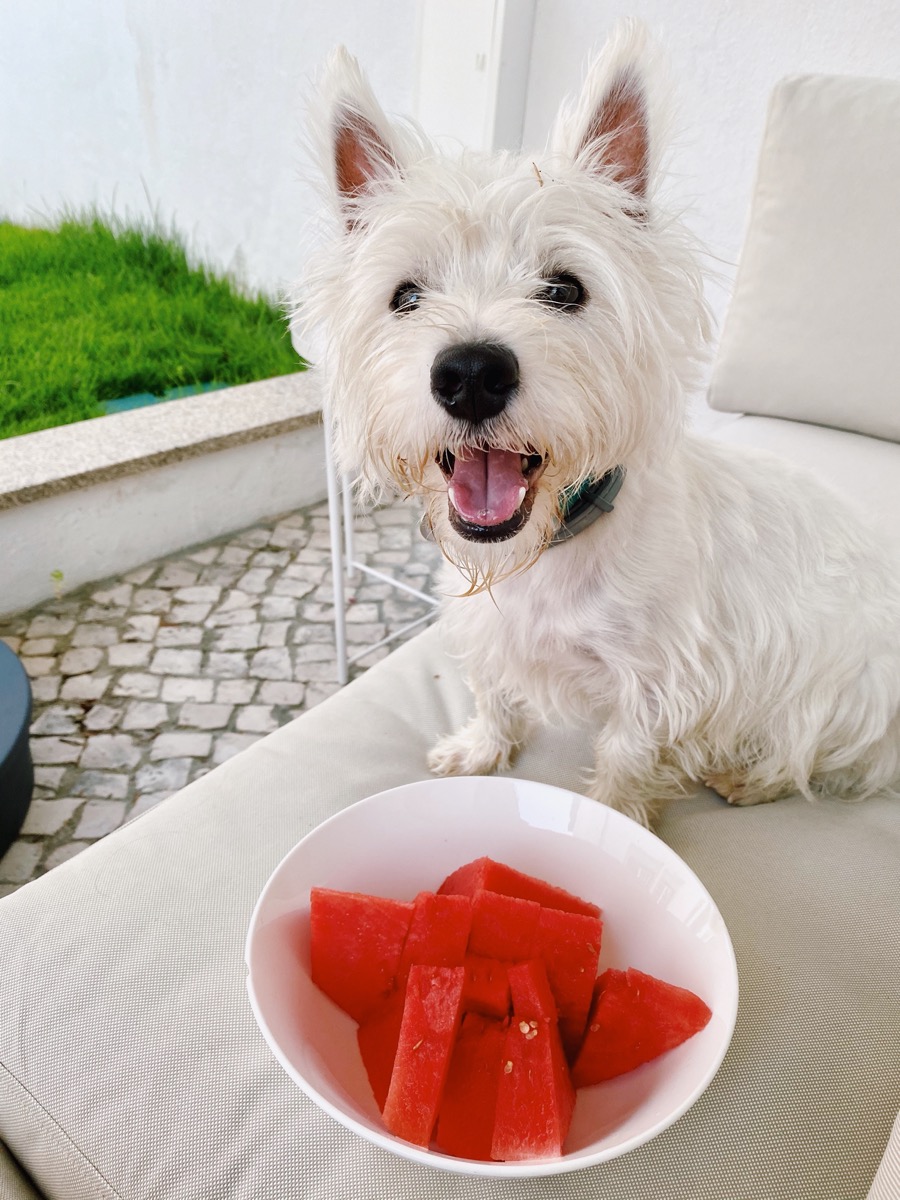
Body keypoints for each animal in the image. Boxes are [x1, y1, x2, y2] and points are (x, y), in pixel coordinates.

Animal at [303, 21, 900, 825]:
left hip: (842, 683)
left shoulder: (657, 674)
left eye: (564, 289)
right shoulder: (487, 631)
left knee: (818, 750)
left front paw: (614, 820)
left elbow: (625, 753)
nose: (470, 374)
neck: (542, 557)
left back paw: (752, 776)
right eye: (405, 295)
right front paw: (477, 751)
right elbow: (494, 694)